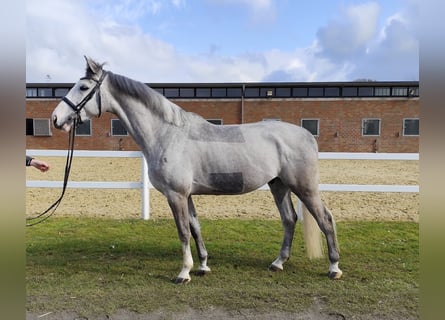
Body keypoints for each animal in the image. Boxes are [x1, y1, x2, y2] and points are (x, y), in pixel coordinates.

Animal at [53, 56, 344, 284]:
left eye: (83, 86)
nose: (57, 119)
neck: (166, 133)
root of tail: (307, 135)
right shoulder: (187, 195)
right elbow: (195, 227)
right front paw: (203, 265)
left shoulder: (176, 195)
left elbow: (183, 231)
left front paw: (184, 272)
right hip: (279, 185)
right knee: (289, 219)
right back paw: (278, 263)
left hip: (304, 188)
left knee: (326, 219)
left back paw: (334, 267)